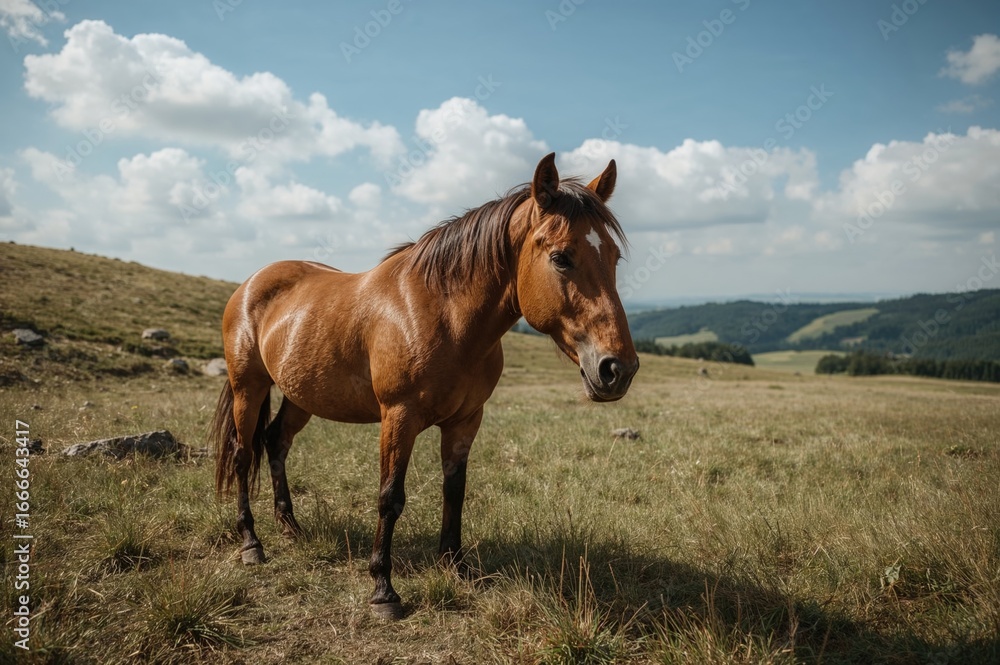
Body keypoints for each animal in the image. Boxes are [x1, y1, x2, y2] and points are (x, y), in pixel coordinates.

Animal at [210, 152, 639, 619]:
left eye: (614, 257)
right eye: (561, 258)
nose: (618, 369)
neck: (444, 316)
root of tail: (251, 283)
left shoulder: (465, 421)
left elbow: (455, 490)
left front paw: (456, 566)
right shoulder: (400, 417)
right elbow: (390, 497)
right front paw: (383, 589)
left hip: (299, 395)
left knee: (276, 443)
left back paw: (291, 527)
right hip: (249, 387)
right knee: (242, 454)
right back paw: (252, 543)